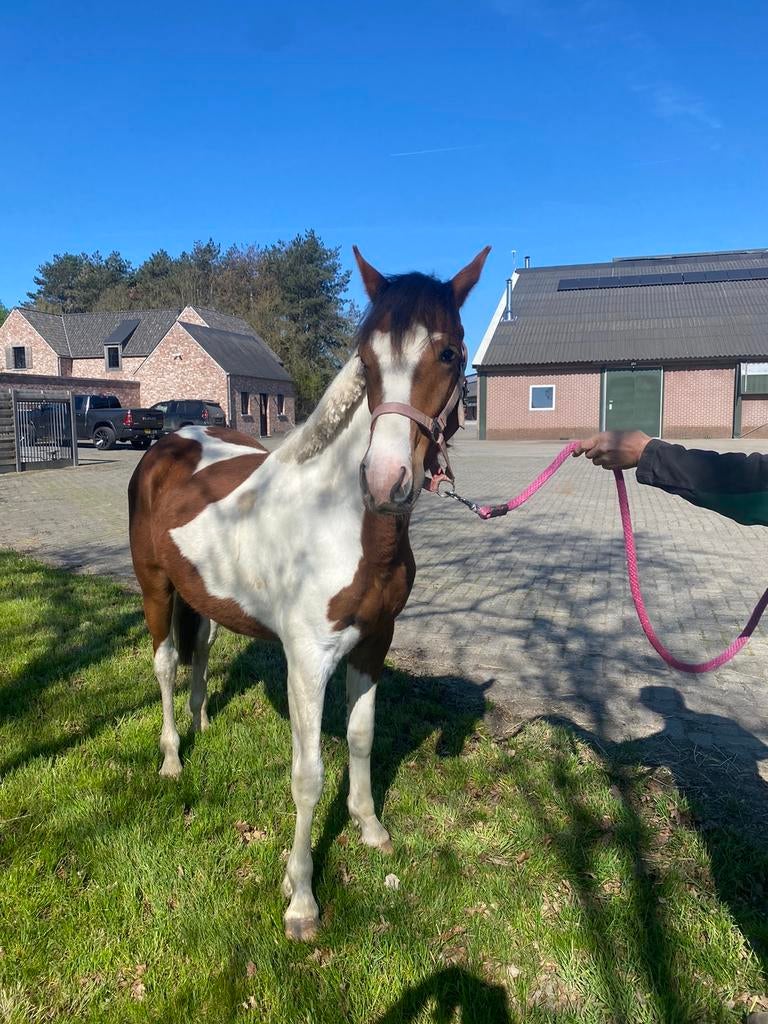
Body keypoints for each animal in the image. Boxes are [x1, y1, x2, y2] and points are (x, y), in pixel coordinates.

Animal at [128, 245, 490, 940]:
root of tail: (170, 440)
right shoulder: (306, 663)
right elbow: (307, 776)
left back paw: (204, 723)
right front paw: (300, 899)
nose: (385, 479)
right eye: (365, 357)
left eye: (449, 353)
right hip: (155, 587)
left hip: (204, 597)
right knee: (164, 664)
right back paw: (172, 758)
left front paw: (371, 829)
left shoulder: (373, 645)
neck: (345, 525)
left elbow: (362, 737)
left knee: (201, 652)